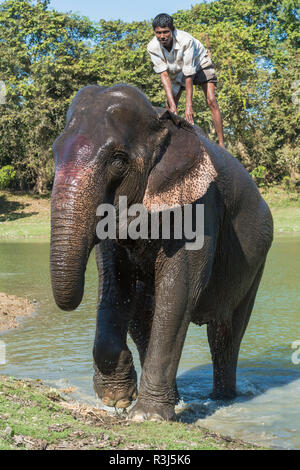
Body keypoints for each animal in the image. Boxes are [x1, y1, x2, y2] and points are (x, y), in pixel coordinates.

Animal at [50, 83, 274, 422]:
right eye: (54, 152)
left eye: (118, 161)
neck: (161, 123)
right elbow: (116, 285)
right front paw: (119, 399)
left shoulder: (199, 206)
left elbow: (179, 289)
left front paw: (147, 416)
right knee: (144, 317)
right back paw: (179, 399)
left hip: (257, 261)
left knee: (226, 334)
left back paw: (221, 399)